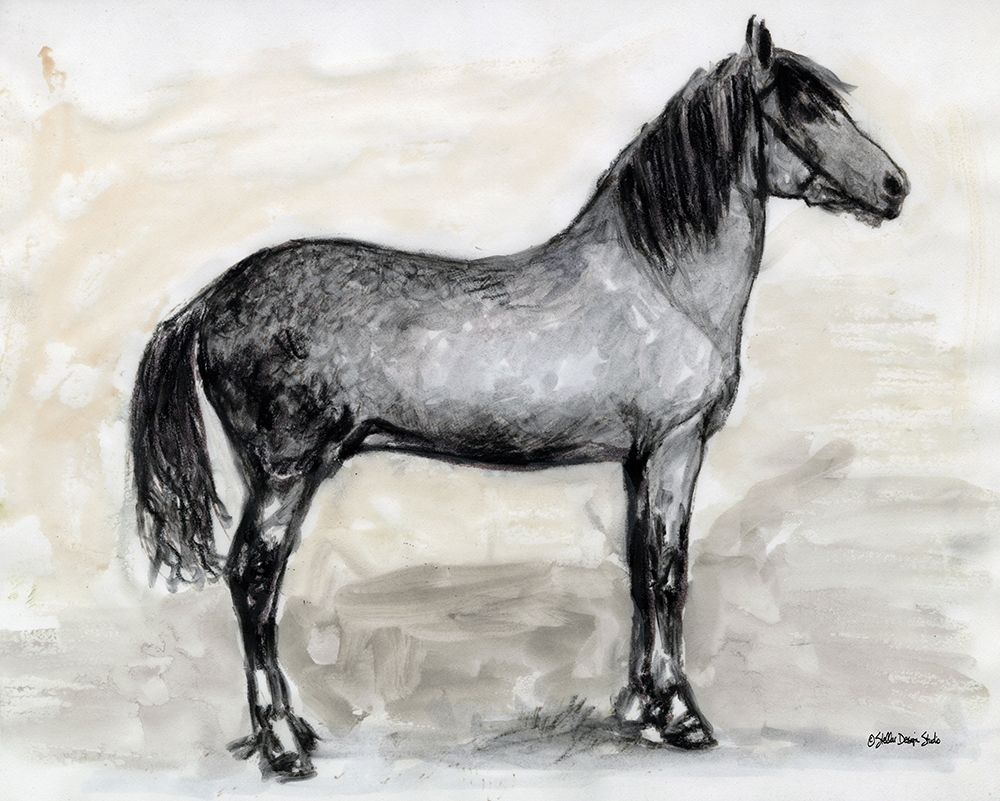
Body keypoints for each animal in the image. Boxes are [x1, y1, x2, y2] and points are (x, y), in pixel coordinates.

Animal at [129, 18, 908, 780]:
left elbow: (639, 571)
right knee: (254, 579)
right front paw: (681, 717)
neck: (660, 284)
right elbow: (669, 574)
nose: (896, 186)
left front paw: (638, 709)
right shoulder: (675, 447)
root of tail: (209, 300)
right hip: (286, 471)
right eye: (803, 108)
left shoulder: (639, 459)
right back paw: (283, 745)